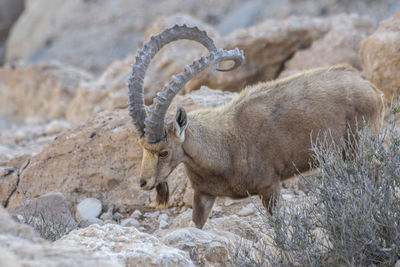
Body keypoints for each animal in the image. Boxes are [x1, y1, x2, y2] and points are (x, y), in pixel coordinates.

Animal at [128, 25, 384, 230]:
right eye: (142, 147)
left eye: (164, 151)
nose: (143, 183)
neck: (223, 145)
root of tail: (371, 89)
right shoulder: (204, 194)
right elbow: (197, 226)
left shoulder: (270, 185)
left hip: (358, 146)